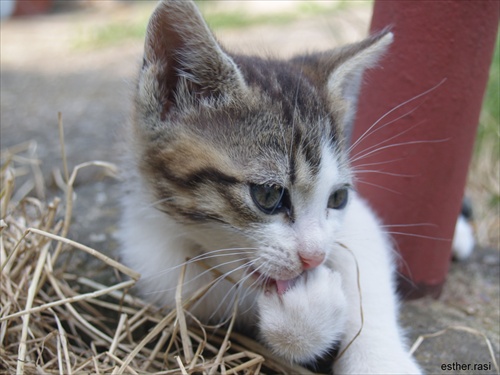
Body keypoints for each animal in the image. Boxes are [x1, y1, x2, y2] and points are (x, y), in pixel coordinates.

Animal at [120, 1, 422, 374]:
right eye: (267, 195)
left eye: (338, 198)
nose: (314, 257)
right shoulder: (163, 273)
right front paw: (308, 312)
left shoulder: (359, 223)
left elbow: (369, 279)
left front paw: (380, 360)